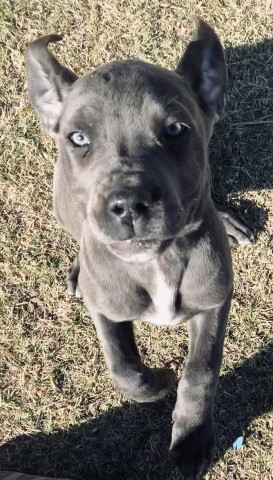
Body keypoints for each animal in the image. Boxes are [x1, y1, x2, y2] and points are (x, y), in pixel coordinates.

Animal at [26, 16, 252, 478]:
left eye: (175, 129)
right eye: (78, 138)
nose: (129, 202)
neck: (157, 260)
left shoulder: (214, 302)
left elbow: (201, 372)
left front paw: (191, 440)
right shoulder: (105, 309)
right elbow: (126, 370)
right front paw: (160, 380)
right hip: (62, 206)